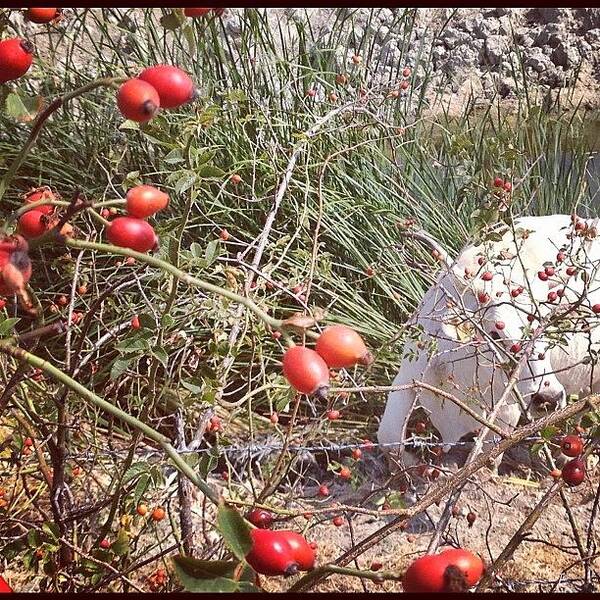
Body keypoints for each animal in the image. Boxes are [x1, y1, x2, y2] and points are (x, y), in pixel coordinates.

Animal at [378, 216, 600, 464]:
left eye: (545, 327)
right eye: (495, 333)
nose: (548, 398)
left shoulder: (506, 409)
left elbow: (487, 456)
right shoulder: (407, 376)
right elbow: (388, 438)